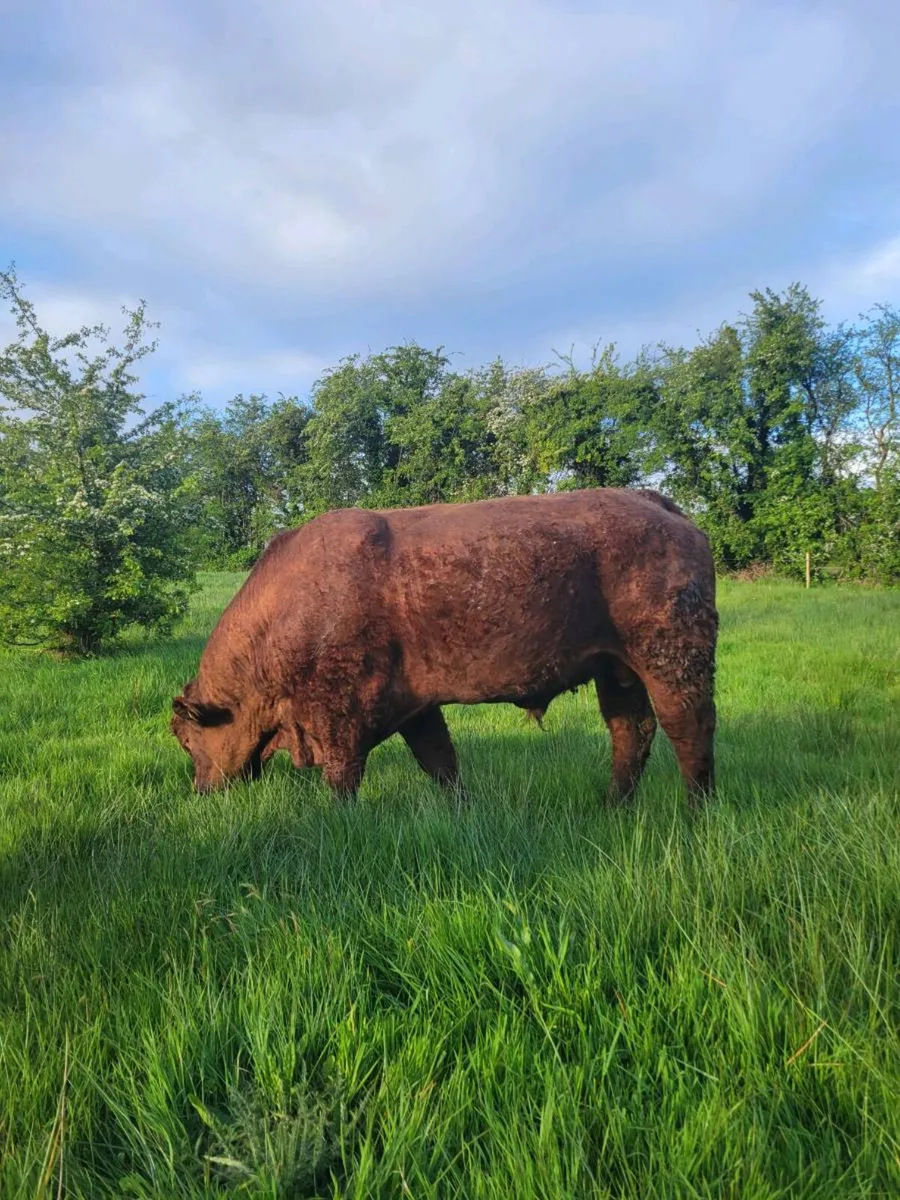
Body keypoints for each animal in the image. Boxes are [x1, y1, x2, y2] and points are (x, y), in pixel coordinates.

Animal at [171, 487, 718, 806]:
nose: (200, 790)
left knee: (688, 729)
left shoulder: (340, 716)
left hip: (671, 662)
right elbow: (440, 761)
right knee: (632, 732)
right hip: (616, 672)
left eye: (188, 740)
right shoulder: (416, 707)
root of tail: (660, 505)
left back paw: (696, 810)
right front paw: (461, 809)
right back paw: (613, 806)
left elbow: (343, 776)